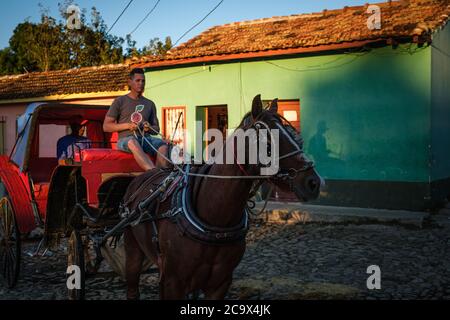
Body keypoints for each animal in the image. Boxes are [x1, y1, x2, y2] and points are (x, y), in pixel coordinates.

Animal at [121, 95, 322, 300]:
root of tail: (144, 175)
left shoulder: (220, 283)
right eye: (268, 142)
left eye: (296, 137)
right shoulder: (173, 281)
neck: (215, 217)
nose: (314, 182)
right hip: (133, 252)